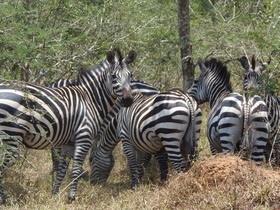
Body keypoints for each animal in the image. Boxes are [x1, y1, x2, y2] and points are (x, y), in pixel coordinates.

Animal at [0, 48, 136, 203]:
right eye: (113, 76)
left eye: (130, 75)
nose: (128, 100)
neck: (91, 100)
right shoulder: (84, 137)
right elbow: (76, 169)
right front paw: (71, 198)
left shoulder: (69, 142)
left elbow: (62, 169)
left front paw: (55, 194)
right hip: (11, 134)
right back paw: (3, 199)